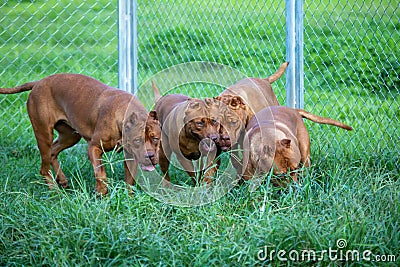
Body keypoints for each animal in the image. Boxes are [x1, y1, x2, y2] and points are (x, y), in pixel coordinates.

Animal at [1, 74, 161, 196]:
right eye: (138, 140)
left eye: (155, 138)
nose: (150, 156)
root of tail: (38, 82)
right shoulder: (94, 148)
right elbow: (100, 172)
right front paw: (101, 193)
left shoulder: (131, 156)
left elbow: (129, 180)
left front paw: (129, 198)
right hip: (44, 134)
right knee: (44, 167)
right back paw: (54, 191)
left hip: (70, 136)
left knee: (53, 152)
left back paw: (62, 180)